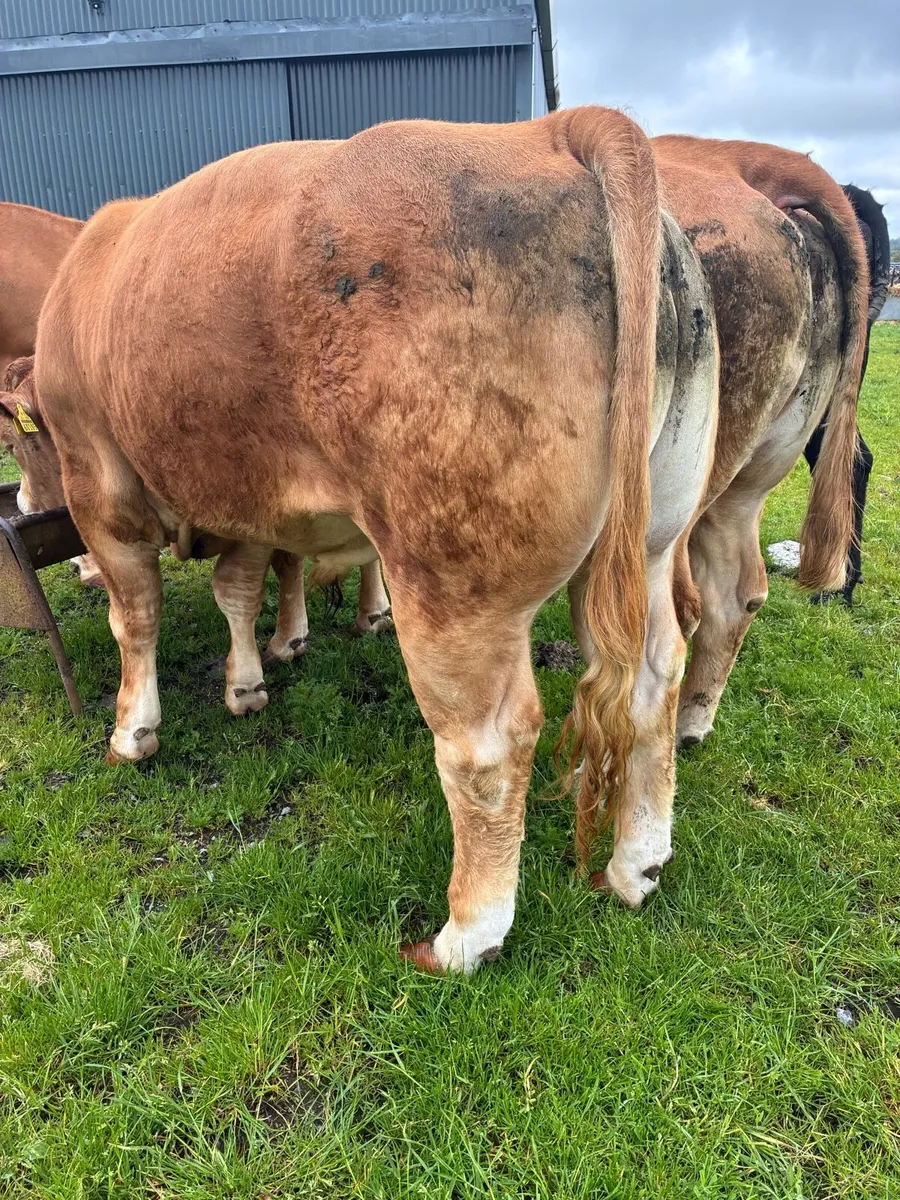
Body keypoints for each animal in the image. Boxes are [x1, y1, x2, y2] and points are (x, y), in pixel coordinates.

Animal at [32, 108, 725, 972]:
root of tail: (551, 128)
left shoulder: (99, 481)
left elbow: (136, 618)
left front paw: (134, 731)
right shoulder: (248, 494)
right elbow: (238, 589)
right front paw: (248, 682)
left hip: (449, 583)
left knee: (486, 746)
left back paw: (464, 937)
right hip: (655, 537)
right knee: (654, 675)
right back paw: (639, 863)